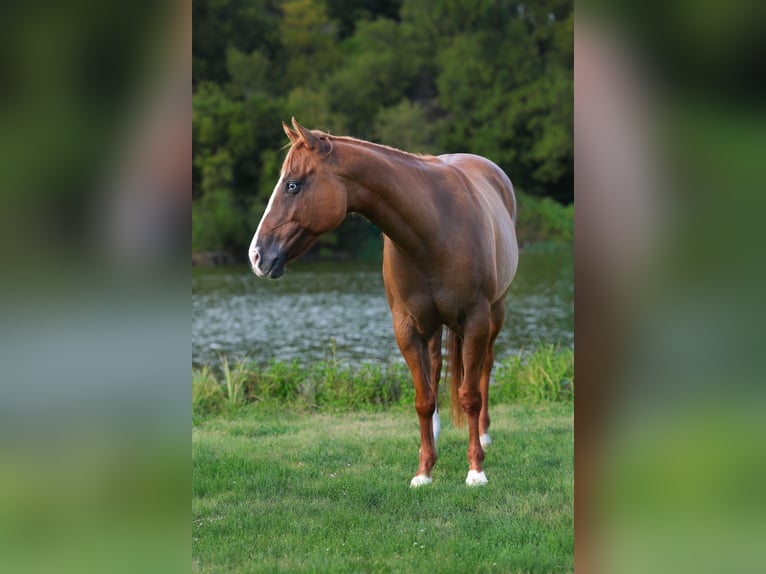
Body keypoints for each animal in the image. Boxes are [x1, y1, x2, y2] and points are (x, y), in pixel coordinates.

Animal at [249, 118, 518, 487]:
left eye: (292, 185)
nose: (256, 255)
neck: (435, 228)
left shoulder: (475, 321)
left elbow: (469, 395)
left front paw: (476, 470)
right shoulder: (407, 328)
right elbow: (423, 399)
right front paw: (424, 470)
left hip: (495, 313)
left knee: (485, 370)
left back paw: (485, 434)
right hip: (433, 327)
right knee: (436, 371)